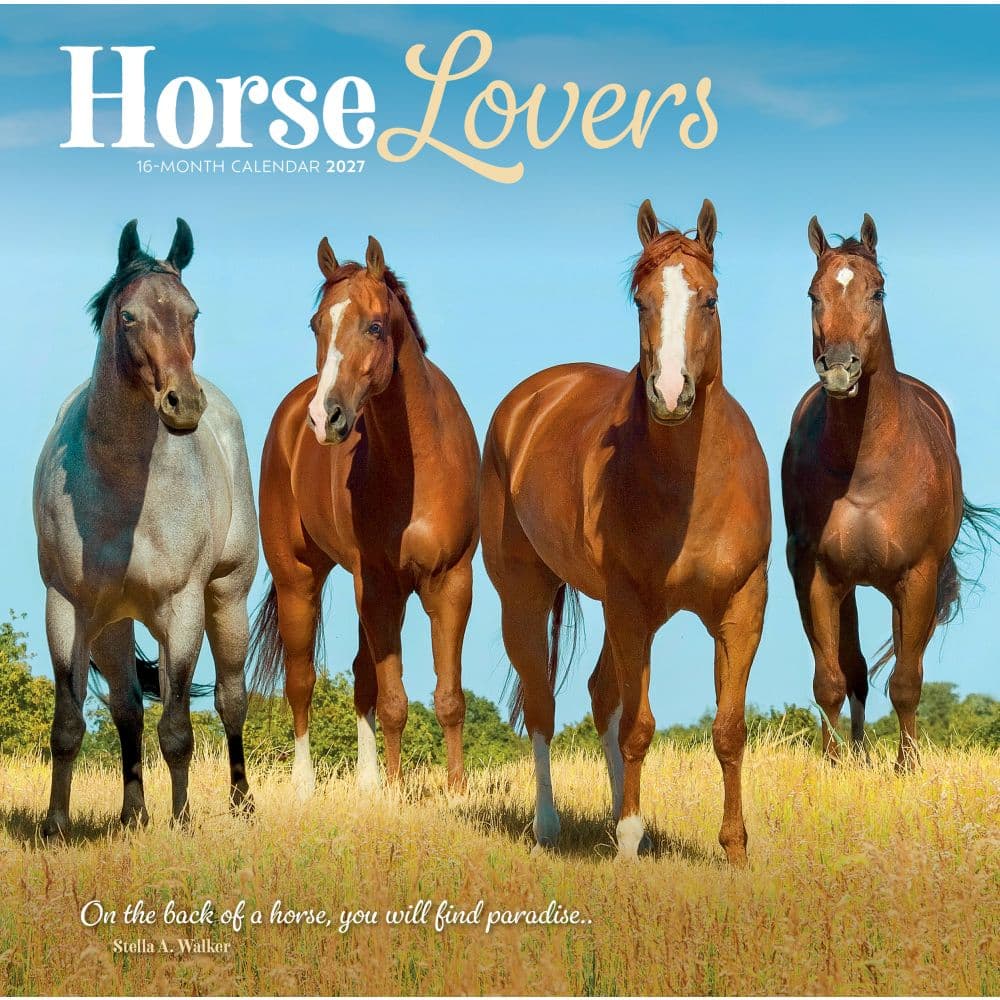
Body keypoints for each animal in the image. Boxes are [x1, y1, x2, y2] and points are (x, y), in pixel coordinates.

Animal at [33, 218, 259, 837]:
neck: (124, 490)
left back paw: (241, 803)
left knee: (231, 699)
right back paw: (132, 813)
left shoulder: (182, 608)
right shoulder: (67, 607)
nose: (183, 403)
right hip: (113, 624)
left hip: (226, 598)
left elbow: (178, 728)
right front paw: (55, 824)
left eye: (193, 312)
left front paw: (182, 822)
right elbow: (69, 725)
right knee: (128, 708)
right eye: (128, 316)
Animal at [248, 234, 480, 797]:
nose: (326, 418)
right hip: (299, 579)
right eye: (316, 324)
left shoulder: (451, 582)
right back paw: (306, 786)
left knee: (360, 677)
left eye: (375, 326)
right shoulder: (378, 585)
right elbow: (393, 700)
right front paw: (396, 793)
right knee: (302, 680)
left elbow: (448, 697)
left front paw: (456, 790)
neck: (419, 464)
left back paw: (367, 782)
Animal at [480, 199, 771, 864]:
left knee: (600, 694)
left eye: (710, 299)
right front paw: (631, 842)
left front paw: (735, 848)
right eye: (641, 301)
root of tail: (529, 400)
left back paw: (617, 816)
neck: (691, 486)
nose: (669, 393)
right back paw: (551, 827)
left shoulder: (743, 604)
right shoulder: (631, 606)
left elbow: (729, 729)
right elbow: (640, 726)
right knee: (544, 703)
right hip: (528, 597)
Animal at [782, 213, 998, 769]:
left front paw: (908, 767)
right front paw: (834, 767)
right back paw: (856, 756)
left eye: (877, 292)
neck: (865, 466)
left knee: (903, 661)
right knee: (855, 669)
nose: (840, 367)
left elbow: (905, 681)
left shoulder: (917, 577)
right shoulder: (817, 576)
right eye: (812, 294)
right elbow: (831, 679)